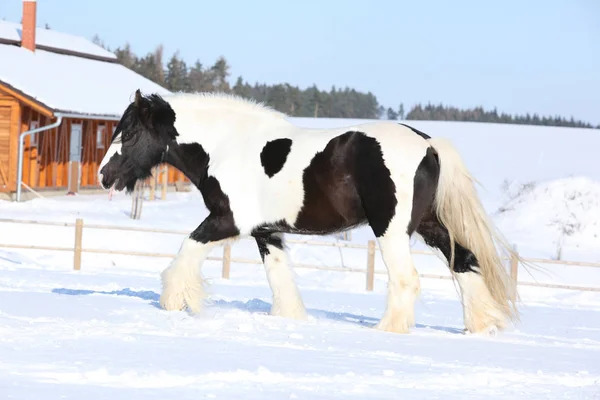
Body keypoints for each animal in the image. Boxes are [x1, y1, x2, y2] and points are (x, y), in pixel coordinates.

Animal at [98, 89, 520, 336]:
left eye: (130, 133)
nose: (104, 176)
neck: (228, 146)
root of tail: (429, 144)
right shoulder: (266, 232)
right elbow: (280, 277)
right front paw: (292, 319)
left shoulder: (227, 221)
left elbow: (186, 251)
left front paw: (176, 303)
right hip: (431, 226)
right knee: (465, 261)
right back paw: (479, 328)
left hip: (392, 229)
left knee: (407, 279)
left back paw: (386, 331)